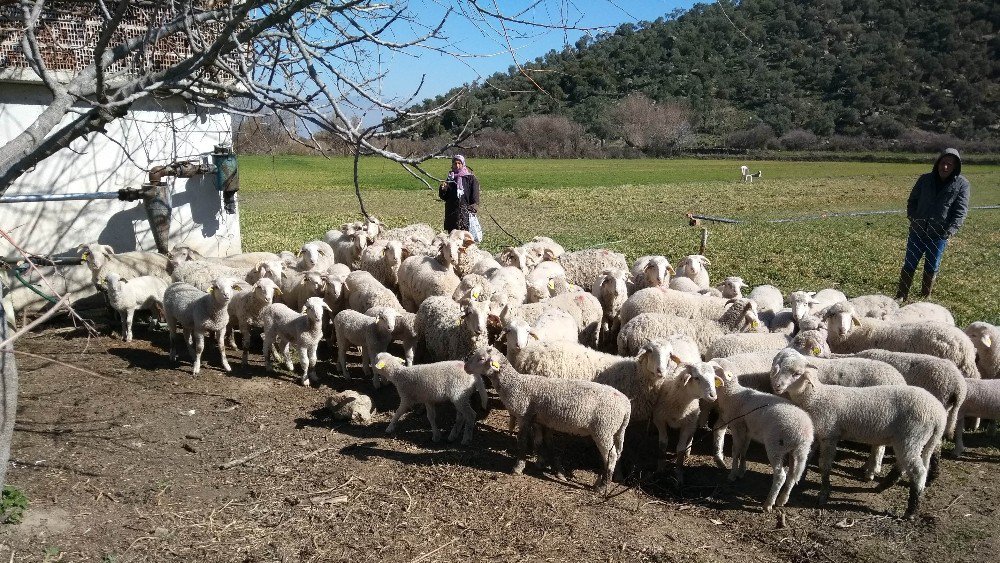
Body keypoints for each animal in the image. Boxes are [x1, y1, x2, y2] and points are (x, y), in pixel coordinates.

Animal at [464, 346, 628, 492]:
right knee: (610, 456)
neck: (515, 384)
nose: (465, 367)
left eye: (481, 358)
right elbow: (540, 442)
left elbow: (522, 442)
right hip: (613, 431)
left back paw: (602, 487)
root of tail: (626, 404)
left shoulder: (524, 416)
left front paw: (518, 467)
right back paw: (599, 482)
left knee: (611, 456)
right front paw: (542, 463)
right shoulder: (539, 420)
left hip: (604, 428)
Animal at [712, 366, 812, 512]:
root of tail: (803, 433)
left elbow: (735, 451)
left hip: (776, 445)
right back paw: (782, 500)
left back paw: (769, 503)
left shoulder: (738, 427)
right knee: (792, 475)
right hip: (797, 451)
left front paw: (733, 474)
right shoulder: (748, 431)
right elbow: (744, 450)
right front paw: (741, 471)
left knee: (780, 476)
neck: (732, 394)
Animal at [768, 352, 948, 520]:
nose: (776, 386)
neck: (816, 397)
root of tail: (939, 415)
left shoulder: (829, 435)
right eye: (779, 368)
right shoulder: (817, 435)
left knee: (918, 472)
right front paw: (797, 483)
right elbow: (805, 460)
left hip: (912, 436)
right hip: (907, 440)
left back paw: (911, 510)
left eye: (797, 373)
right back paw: (883, 486)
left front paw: (824, 493)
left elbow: (824, 466)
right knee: (903, 465)